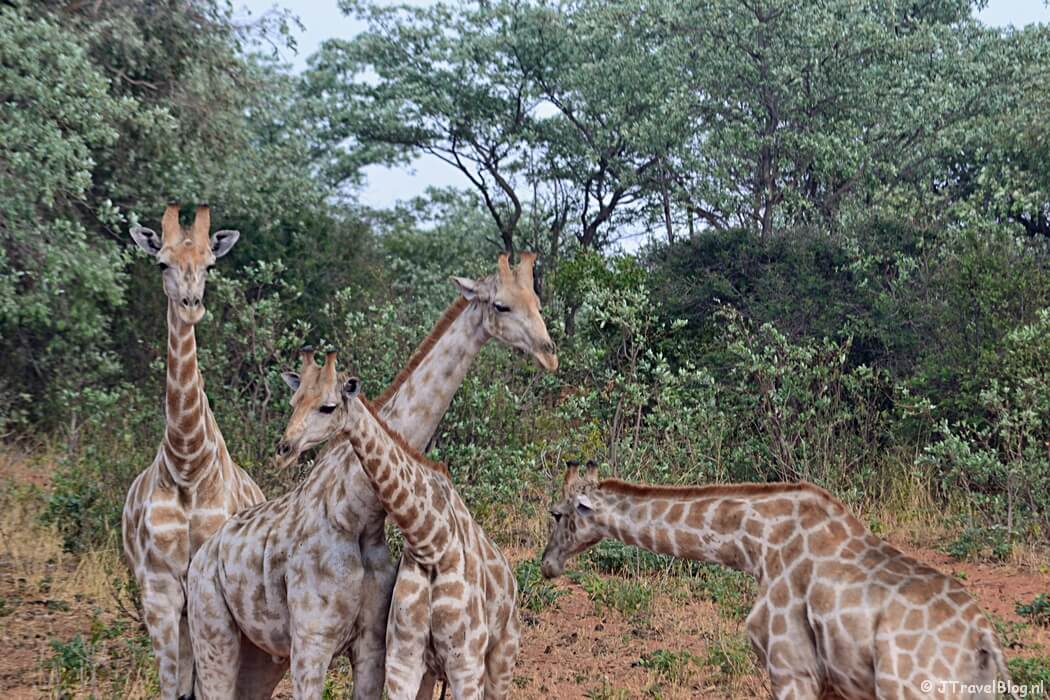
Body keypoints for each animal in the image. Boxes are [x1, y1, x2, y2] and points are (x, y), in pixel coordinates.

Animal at [122, 203, 265, 700]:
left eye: (210, 265)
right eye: (162, 263)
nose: (191, 306)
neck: (187, 461)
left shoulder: (203, 583)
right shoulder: (159, 587)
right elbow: (173, 686)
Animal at [187, 253, 554, 699]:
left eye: (536, 301)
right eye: (501, 305)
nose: (549, 353)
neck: (357, 513)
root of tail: (203, 553)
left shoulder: (372, 644)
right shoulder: (312, 641)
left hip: (261, 651)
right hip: (212, 628)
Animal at [540, 463, 1016, 700]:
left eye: (557, 513)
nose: (546, 565)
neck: (754, 546)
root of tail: (984, 637)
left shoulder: (791, 669)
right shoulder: (835, 685)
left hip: (913, 691)